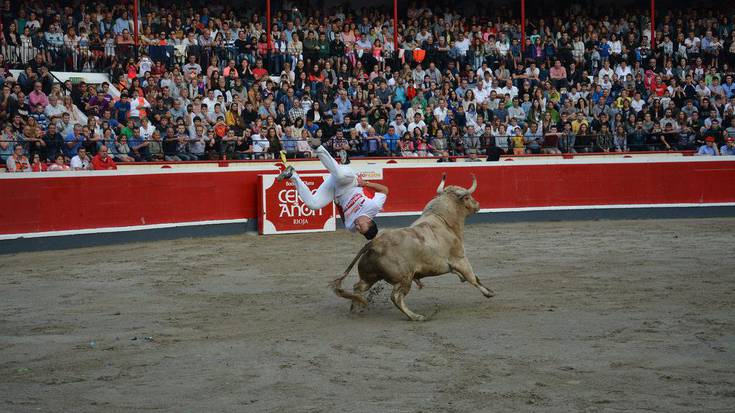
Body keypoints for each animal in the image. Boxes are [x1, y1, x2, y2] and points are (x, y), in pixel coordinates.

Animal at [332, 172, 494, 320]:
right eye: (467, 197)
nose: (478, 205)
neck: (443, 220)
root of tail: (374, 243)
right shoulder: (460, 258)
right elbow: (472, 277)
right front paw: (488, 293)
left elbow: (470, 277)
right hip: (405, 278)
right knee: (396, 297)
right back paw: (416, 316)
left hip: (371, 276)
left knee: (358, 287)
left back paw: (356, 308)